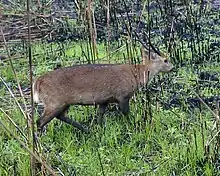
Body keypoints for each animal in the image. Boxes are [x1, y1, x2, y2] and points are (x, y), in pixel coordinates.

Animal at [33, 47, 174, 133]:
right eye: (165, 60)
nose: (173, 68)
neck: (136, 75)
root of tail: (37, 82)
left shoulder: (104, 100)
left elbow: (100, 115)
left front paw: (99, 130)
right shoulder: (122, 95)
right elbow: (126, 114)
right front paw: (133, 127)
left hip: (62, 103)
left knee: (60, 116)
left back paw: (86, 130)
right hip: (54, 101)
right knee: (39, 121)